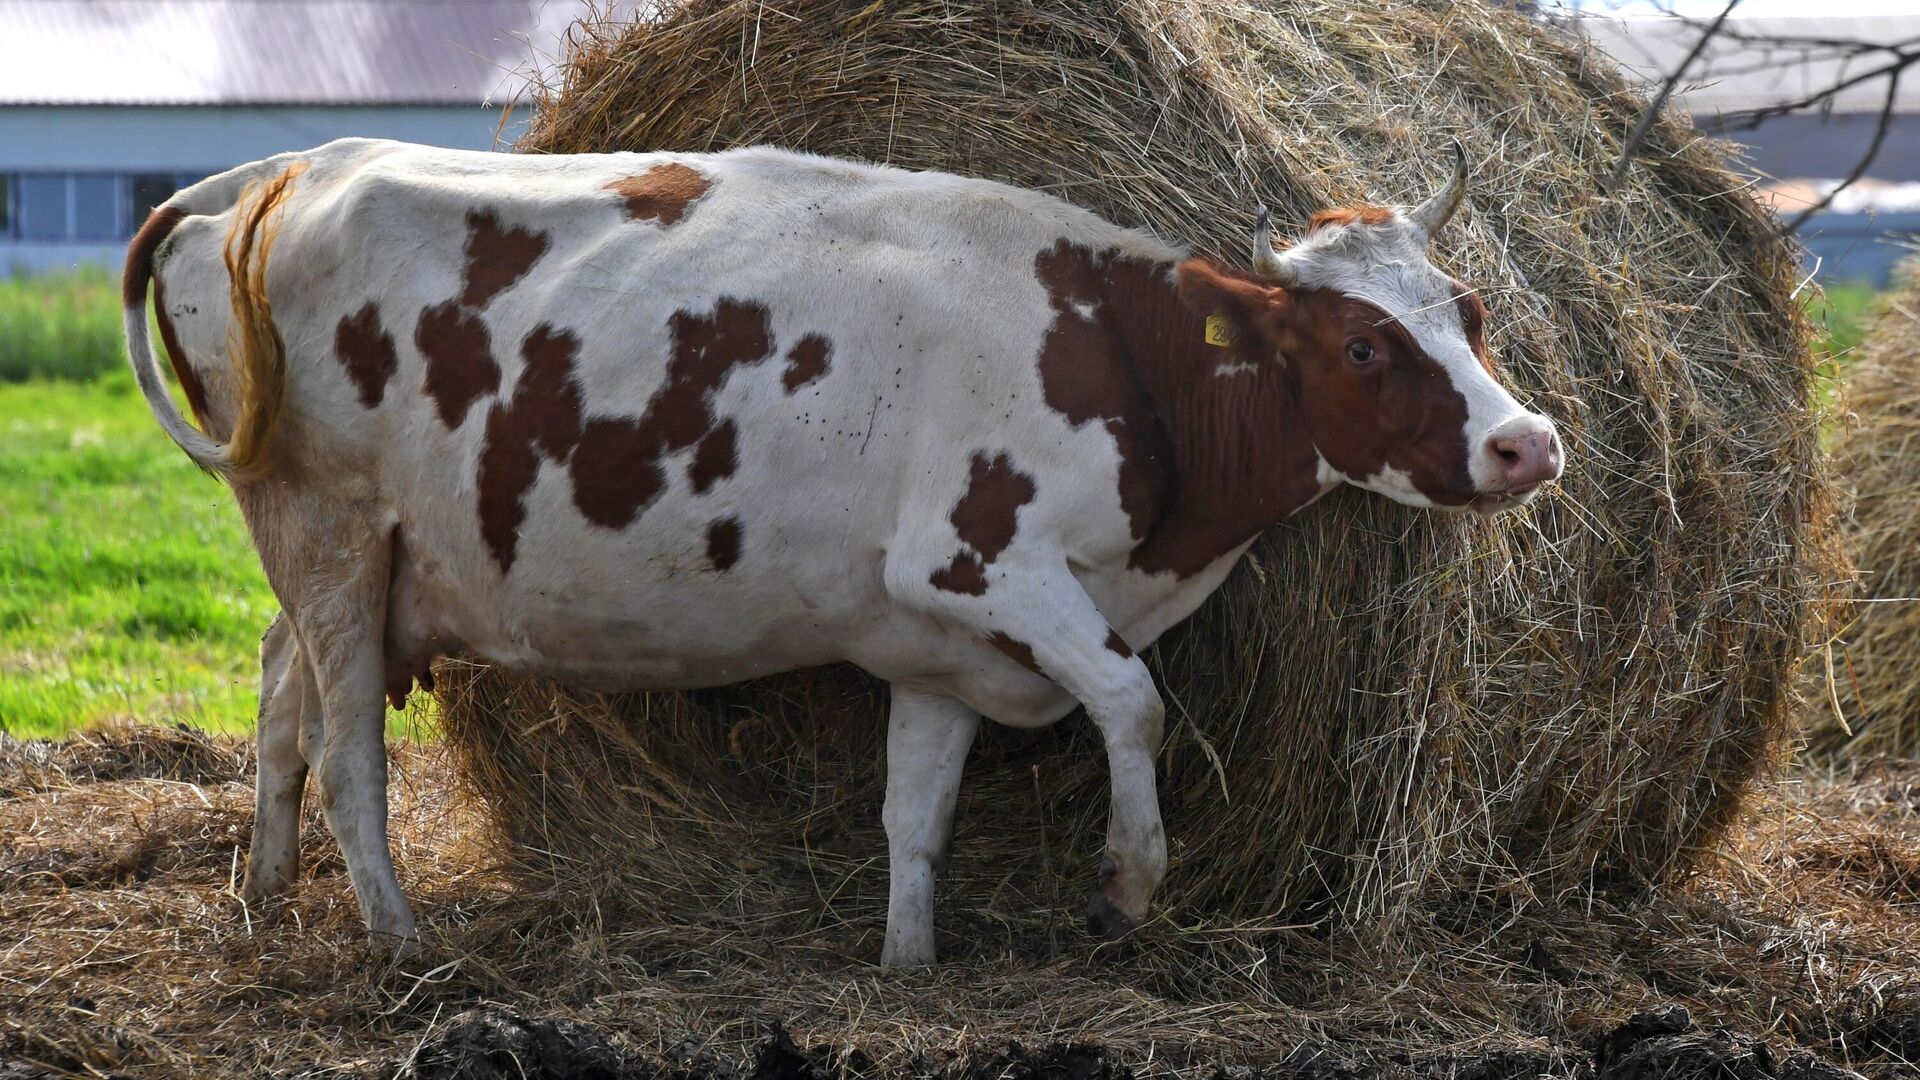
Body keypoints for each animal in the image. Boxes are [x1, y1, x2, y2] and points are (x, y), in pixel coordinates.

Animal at [120, 136, 1559, 968]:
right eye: (1364, 345)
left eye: (1472, 311)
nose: (1528, 443)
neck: (1118, 359)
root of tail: (262, 177)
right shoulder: (980, 563)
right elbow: (1133, 701)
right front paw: (1126, 885)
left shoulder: (939, 646)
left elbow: (916, 812)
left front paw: (908, 965)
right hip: (328, 526)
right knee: (349, 745)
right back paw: (399, 937)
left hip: (341, 555)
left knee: (281, 689)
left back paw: (267, 893)